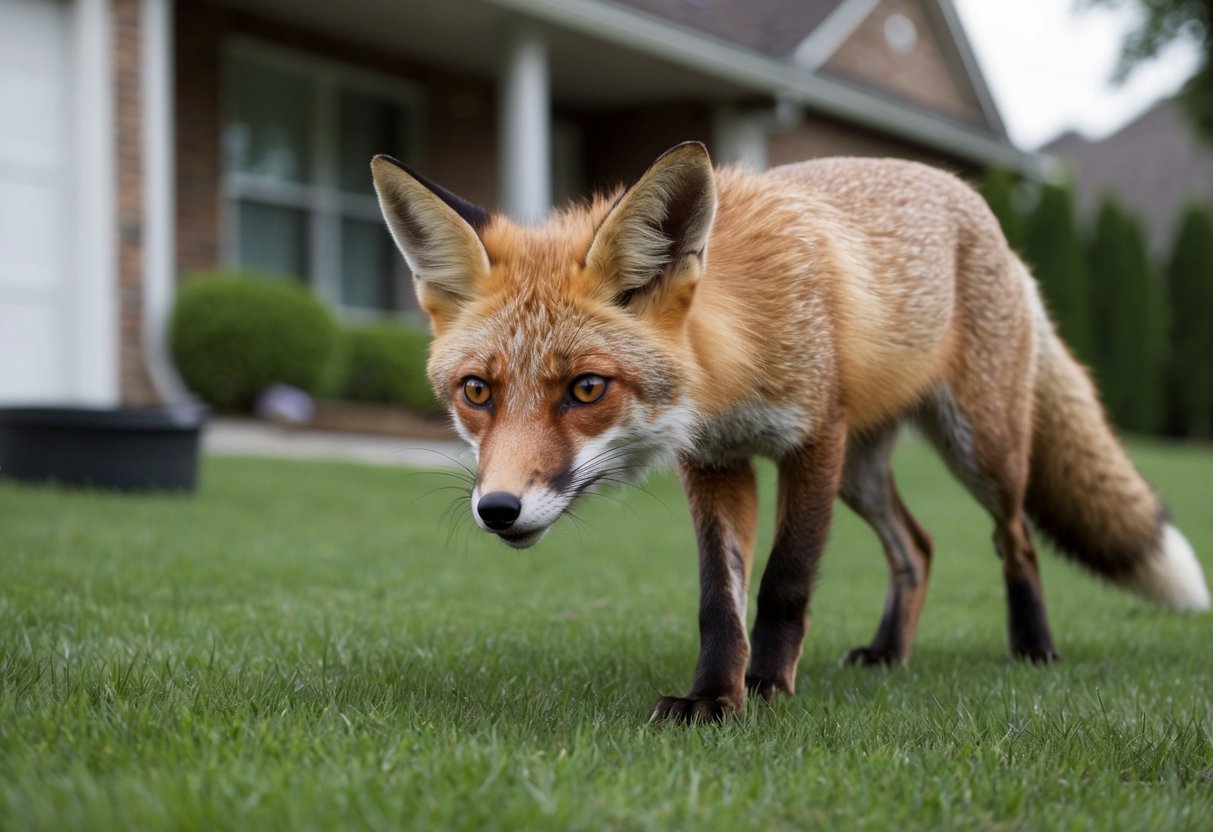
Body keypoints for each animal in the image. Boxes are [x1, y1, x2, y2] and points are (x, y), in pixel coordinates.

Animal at [370, 142, 1210, 723]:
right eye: (476, 392)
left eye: (585, 389)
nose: (497, 510)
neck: (731, 373)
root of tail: (979, 209)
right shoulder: (716, 464)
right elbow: (719, 601)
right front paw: (713, 697)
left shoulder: (812, 442)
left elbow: (783, 582)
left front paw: (767, 687)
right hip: (863, 474)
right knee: (917, 547)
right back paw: (888, 652)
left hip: (977, 446)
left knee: (1016, 539)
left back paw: (1032, 646)